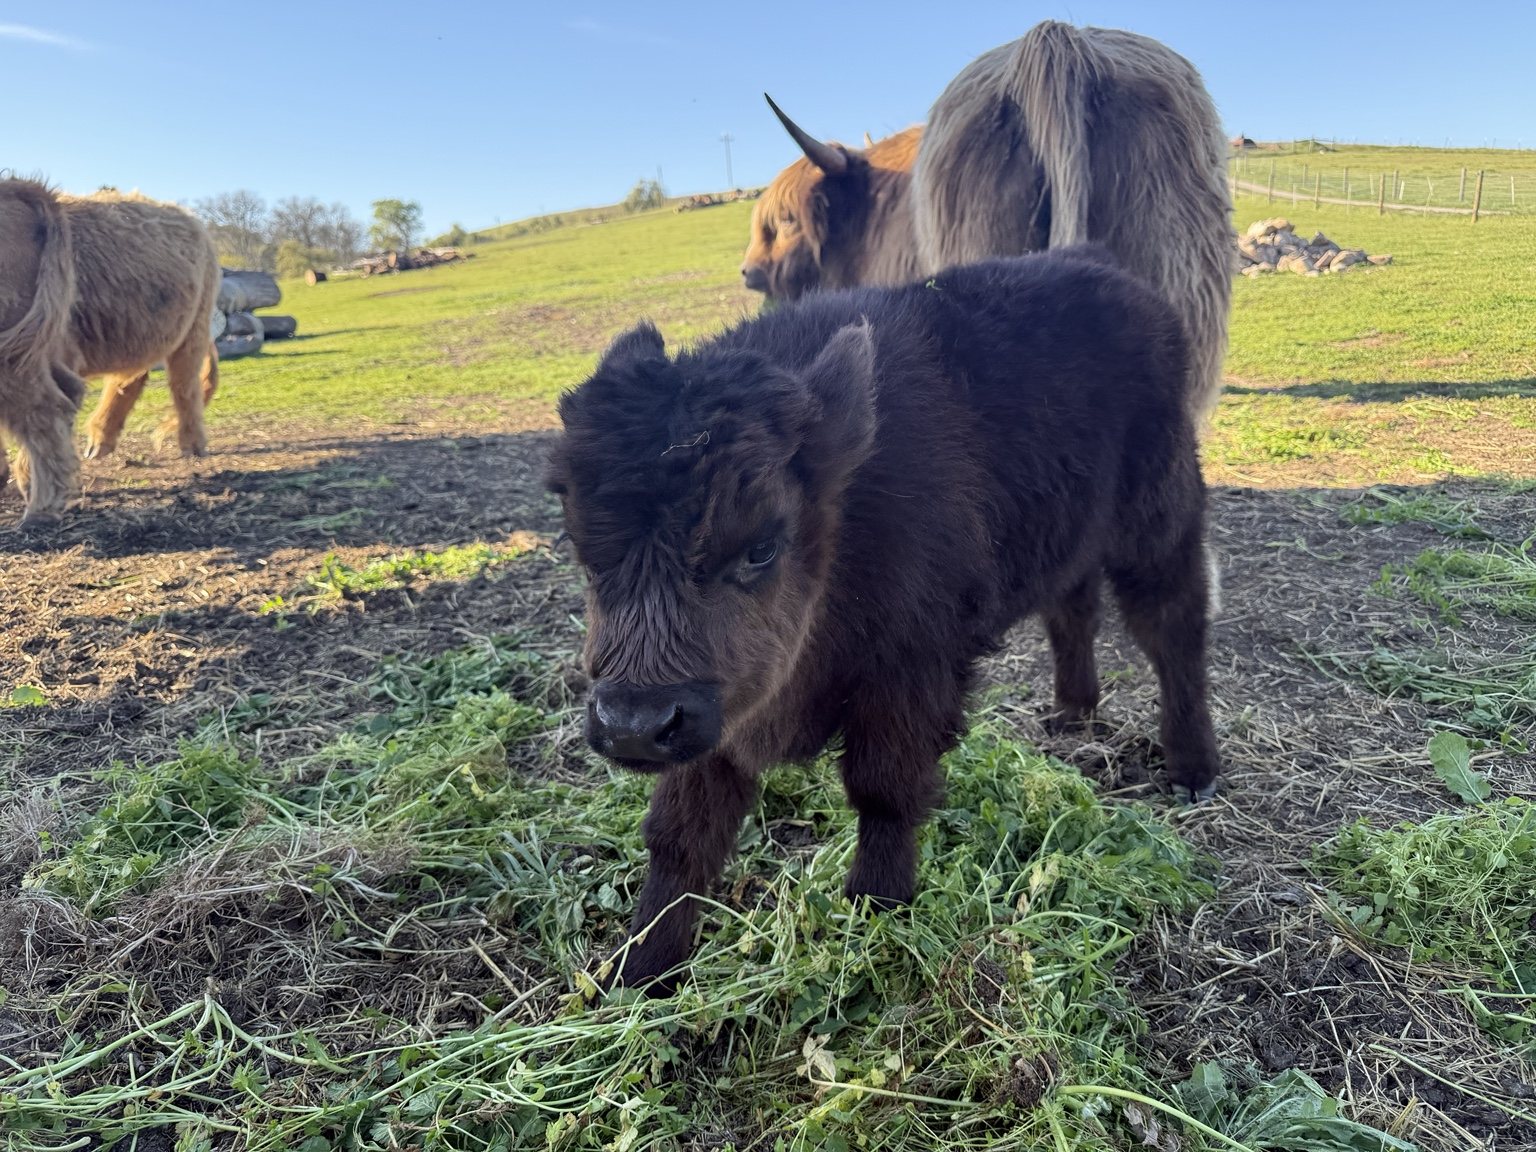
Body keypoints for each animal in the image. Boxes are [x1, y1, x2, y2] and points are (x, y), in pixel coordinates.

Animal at [547, 248, 1224, 991]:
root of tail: (1108, 269)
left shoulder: (909, 675)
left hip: (1156, 520)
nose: (632, 727)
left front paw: (877, 915)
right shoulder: (719, 711)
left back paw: (1192, 769)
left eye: (762, 546)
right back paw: (1072, 712)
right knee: (1072, 606)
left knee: (1175, 627)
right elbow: (683, 833)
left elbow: (885, 792)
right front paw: (639, 970)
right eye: (580, 542)